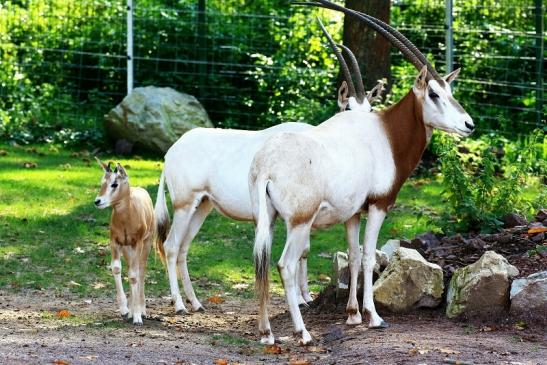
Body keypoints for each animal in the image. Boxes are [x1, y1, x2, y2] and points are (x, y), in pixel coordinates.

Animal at [94, 159, 154, 324]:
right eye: (102, 182)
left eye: (114, 184)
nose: (98, 201)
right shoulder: (115, 242)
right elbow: (116, 268)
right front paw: (125, 310)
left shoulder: (137, 243)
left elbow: (135, 275)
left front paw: (137, 317)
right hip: (127, 249)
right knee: (130, 270)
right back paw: (132, 310)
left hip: (145, 244)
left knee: (140, 271)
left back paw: (142, 310)